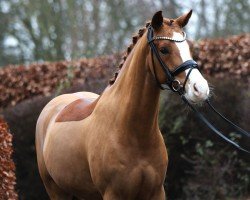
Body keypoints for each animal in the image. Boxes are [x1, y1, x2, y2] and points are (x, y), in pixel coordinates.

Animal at [35, 10, 209, 198]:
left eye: (188, 49)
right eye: (164, 49)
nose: (200, 89)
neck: (132, 131)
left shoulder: (156, 192)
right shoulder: (114, 194)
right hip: (56, 190)